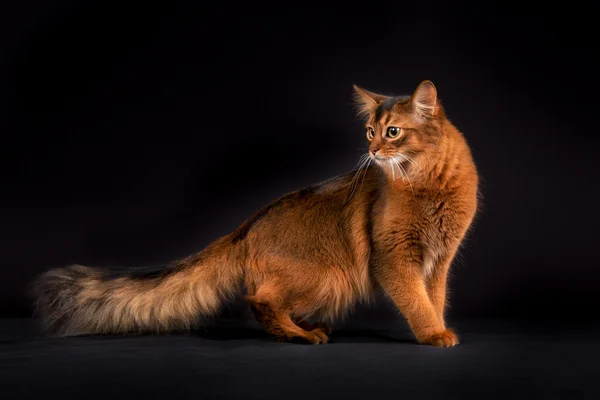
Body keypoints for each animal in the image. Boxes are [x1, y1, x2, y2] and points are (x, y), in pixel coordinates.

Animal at [29, 79, 478, 346]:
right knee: (259, 299)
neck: (429, 182)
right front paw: (432, 334)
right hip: (329, 276)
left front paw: (440, 326)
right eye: (370, 131)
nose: (371, 151)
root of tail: (246, 226)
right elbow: (415, 301)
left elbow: (434, 298)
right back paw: (301, 335)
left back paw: (305, 327)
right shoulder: (394, 258)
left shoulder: (440, 260)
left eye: (393, 132)